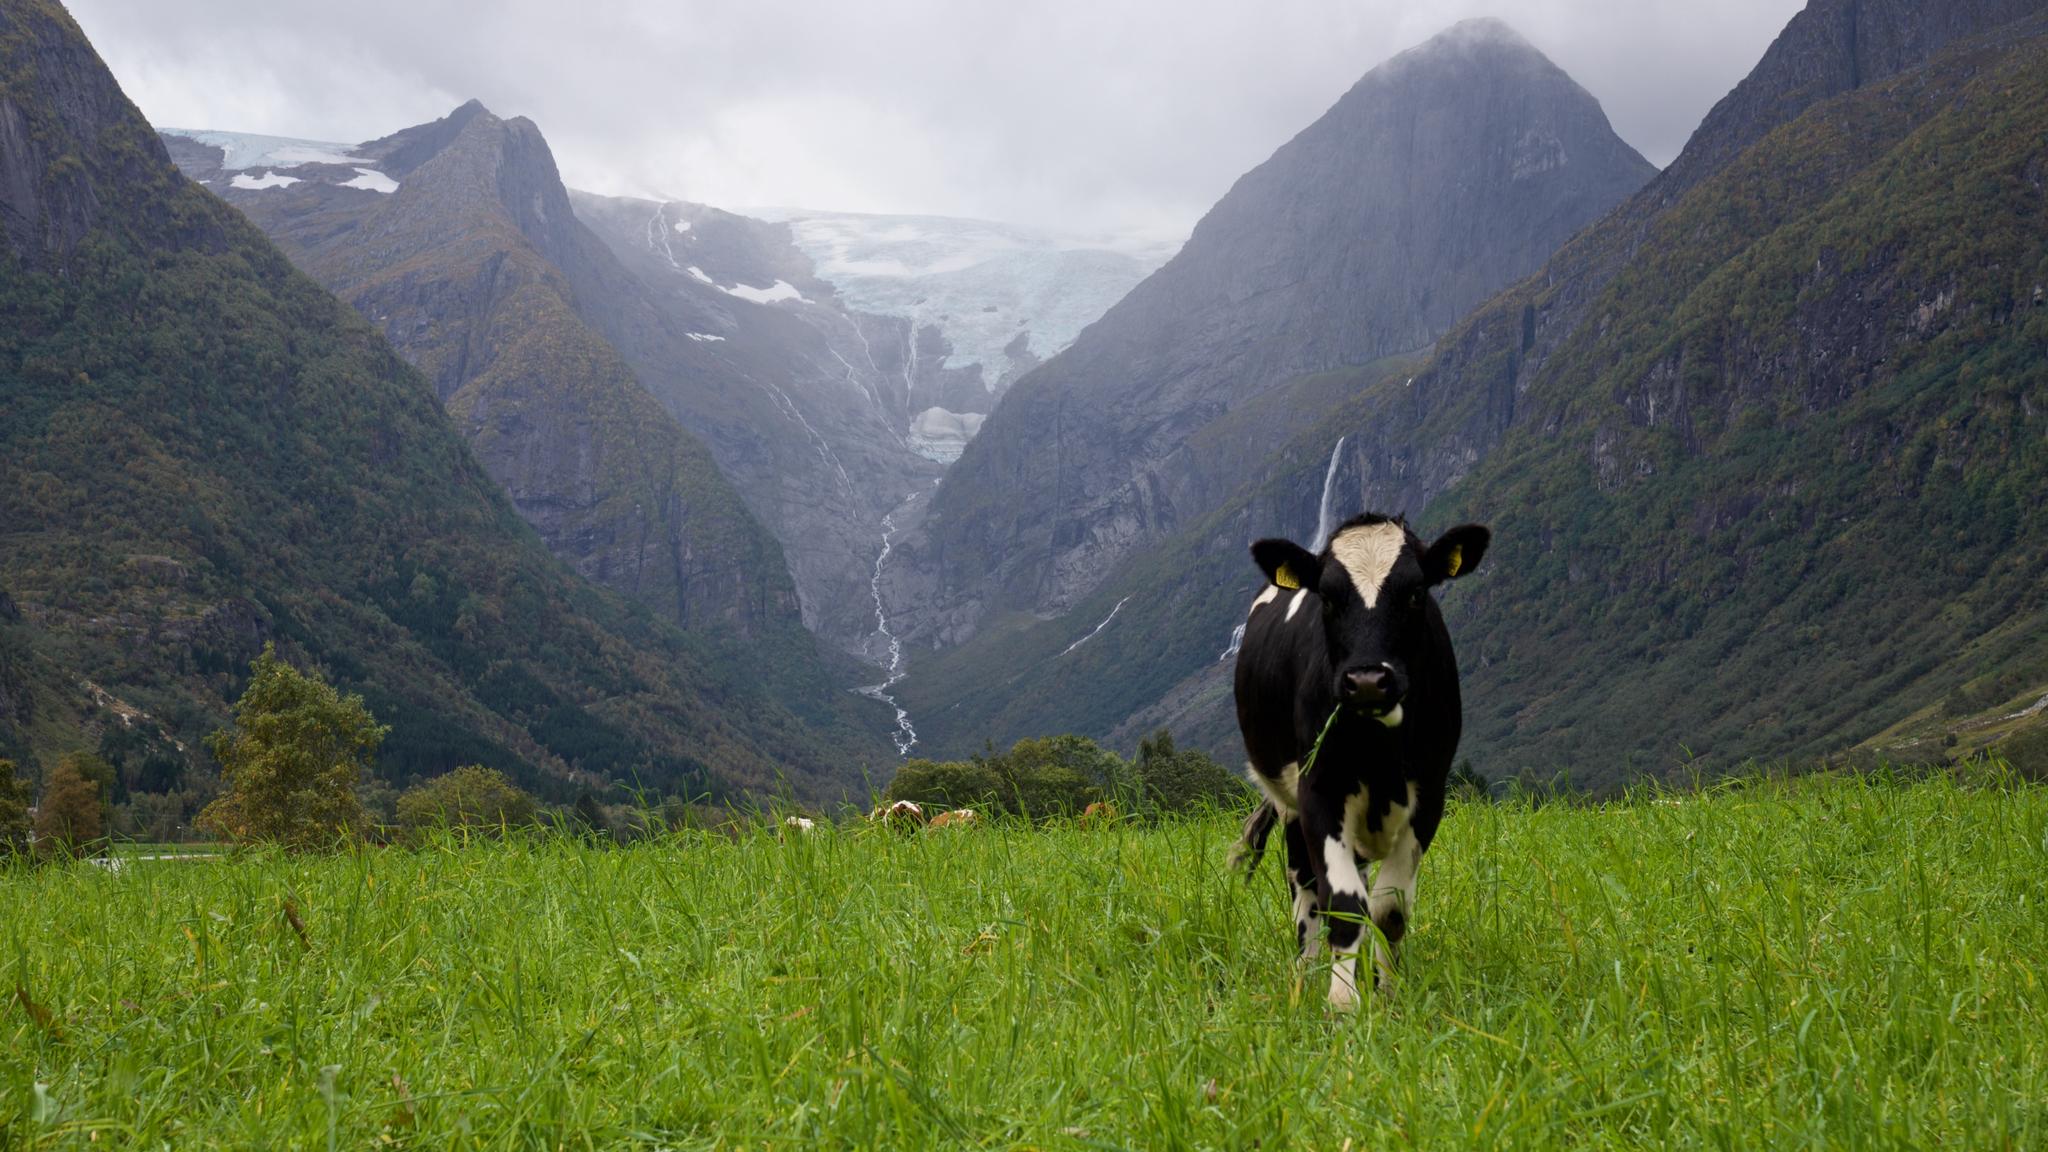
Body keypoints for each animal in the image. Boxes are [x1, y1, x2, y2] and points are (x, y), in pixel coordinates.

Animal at [1230, 513, 1489, 1010]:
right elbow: (1345, 903)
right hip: (1290, 803)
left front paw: (1387, 992)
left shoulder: (1430, 793)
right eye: (1328, 598)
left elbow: (1388, 908)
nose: (1368, 680)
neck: (1378, 749)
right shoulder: (1319, 789)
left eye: (1415, 592)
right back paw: (1307, 970)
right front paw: (1342, 1000)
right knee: (1304, 883)